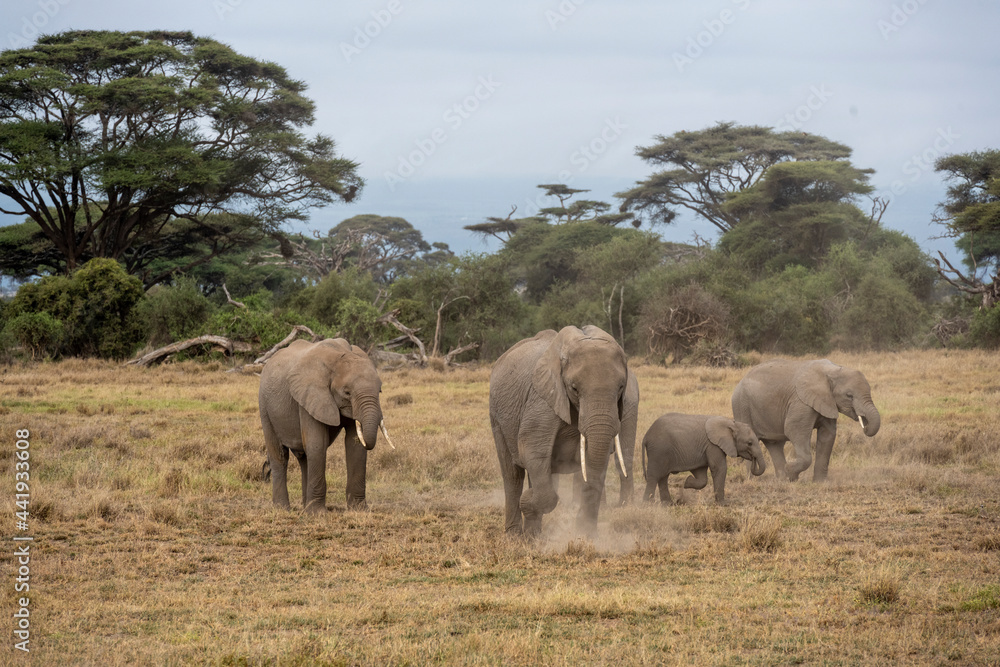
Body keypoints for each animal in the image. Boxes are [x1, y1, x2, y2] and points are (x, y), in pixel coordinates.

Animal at [258, 336, 394, 516]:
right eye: (347, 392)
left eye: (379, 391)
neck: (338, 357)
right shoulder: (310, 396)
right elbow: (317, 444)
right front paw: (318, 514)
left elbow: (354, 445)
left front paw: (359, 510)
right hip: (264, 405)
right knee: (280, 455)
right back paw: (283, 509)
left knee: (304, 458)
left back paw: (305, 507)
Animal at [490, 326, 640, 540]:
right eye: (574, 388)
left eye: (620, 387)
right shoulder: (542, 400)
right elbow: (532, 450)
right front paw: (527, 501)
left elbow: (594, 460)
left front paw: (586, 537)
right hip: (496, 417)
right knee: (512, 474)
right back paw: (516, 536)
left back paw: (533, 536)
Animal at [732, 360, 880, 480]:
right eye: (849, 395)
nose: (865, 425)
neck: (832, 370)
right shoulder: (801, 402)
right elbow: (794, 430)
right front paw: (791, 473)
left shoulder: (827, 402)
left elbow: (827, 435)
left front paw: (819, 482)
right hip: (741, 406)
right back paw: (753, 480)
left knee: (775, 444)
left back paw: (782, 480)